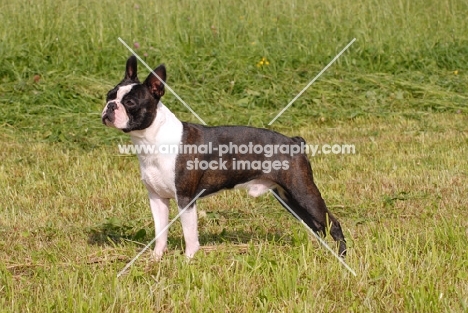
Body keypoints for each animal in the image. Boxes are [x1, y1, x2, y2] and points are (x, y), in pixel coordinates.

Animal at [100, 56, 346, 258]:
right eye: (109, 96)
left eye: (130, 103)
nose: (110, 106)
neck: (151, 139)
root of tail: (295, 142)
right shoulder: (157, 199)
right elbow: (160, 233)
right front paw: (156, 258)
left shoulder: (186, 199)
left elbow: (190, 234)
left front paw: (189, 260)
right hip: (289, 198)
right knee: (318, 226)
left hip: (303, 191)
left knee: (332, 224)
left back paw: (342, 257)